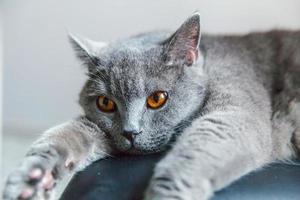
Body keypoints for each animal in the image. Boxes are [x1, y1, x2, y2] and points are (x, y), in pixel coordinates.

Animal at [2, 12, 300, 200]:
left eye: (157, 98)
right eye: (105, 103)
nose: (130, 132)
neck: (209, 65)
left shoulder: (235, 109)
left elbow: (197, 149)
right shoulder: (104, 132)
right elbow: (65, 135)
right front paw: (32, 178)